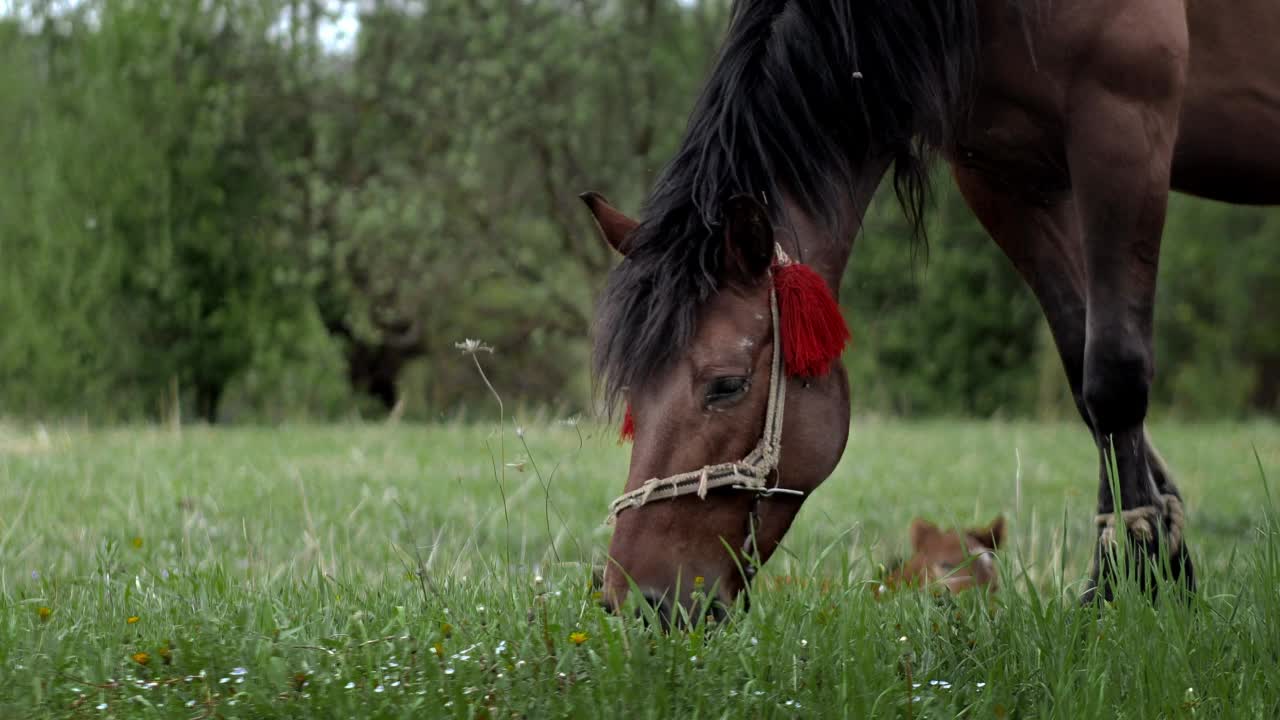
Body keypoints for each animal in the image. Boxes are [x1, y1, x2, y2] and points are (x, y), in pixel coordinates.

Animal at [583, 0, 1280, 617]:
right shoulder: (1004, 177)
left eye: (726, 385)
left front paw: (1122, 592)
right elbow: (1082, 375)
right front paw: (1165, 577)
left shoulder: (1124, 130)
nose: (635, 599)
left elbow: (1113, 376)